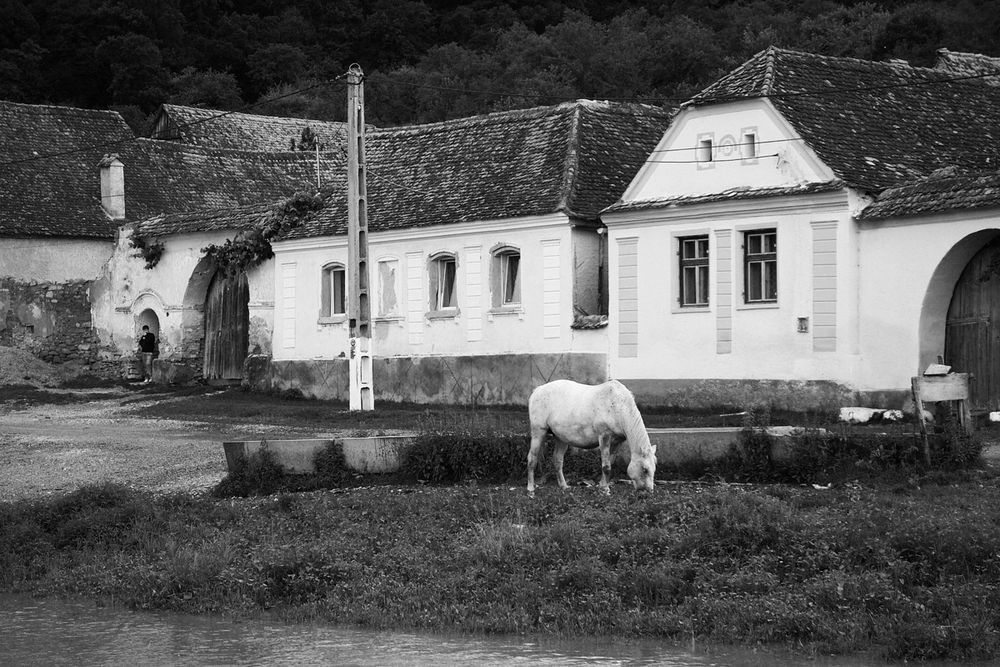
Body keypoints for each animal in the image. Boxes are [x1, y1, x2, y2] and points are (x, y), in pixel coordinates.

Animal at [524, 380, 656, 496]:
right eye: (645, 470)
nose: (648, 492)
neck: (617, 406)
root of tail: (537, 390)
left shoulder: (616, 442)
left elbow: (610, 462)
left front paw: (602, 486)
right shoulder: (604, 436)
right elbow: (606, 466)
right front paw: (605, 490)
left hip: (561, 438)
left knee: (557, 459)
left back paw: (564, 486)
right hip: (538, 432)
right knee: (532, 459)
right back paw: (530, 490)